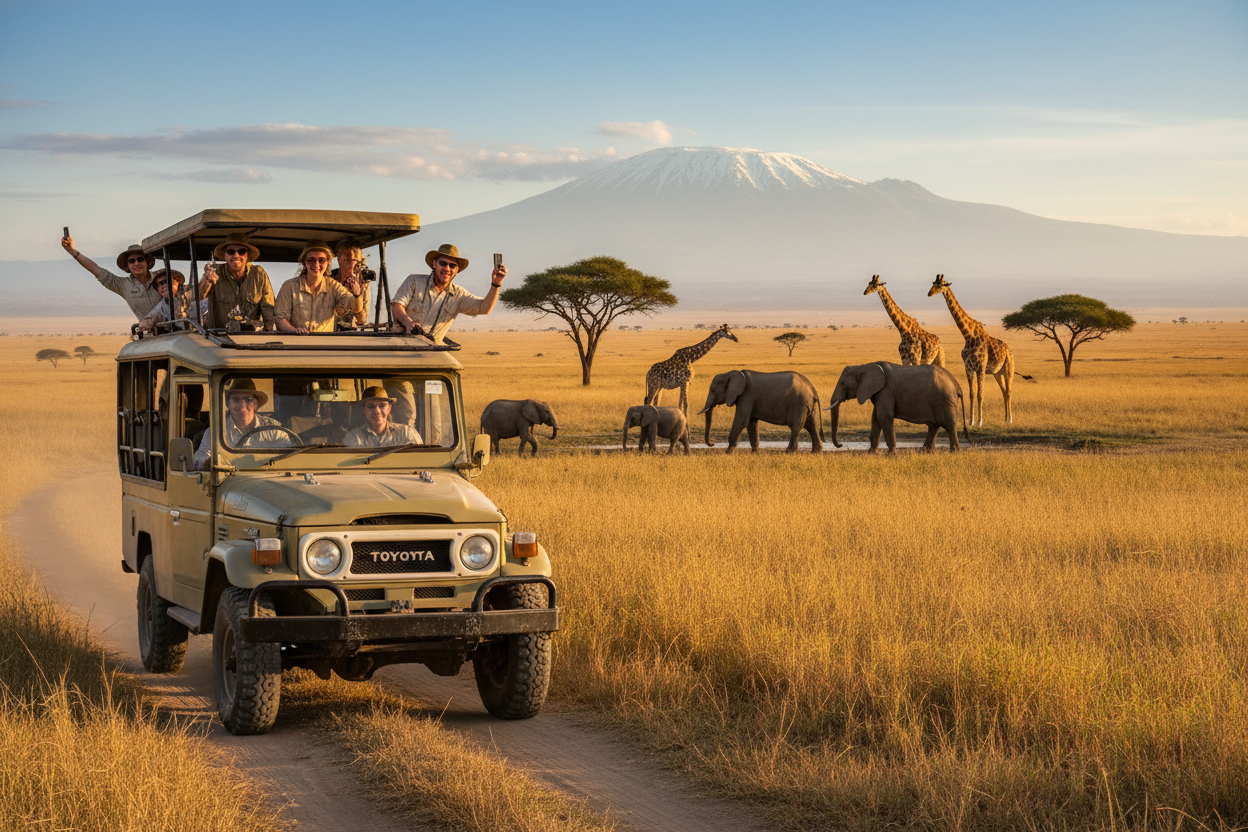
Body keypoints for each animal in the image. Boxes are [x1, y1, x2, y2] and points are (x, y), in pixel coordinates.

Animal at [826, 362, 967, 453]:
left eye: (843, 384)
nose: (841, 444)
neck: (864, 366)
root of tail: (956, 384)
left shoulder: (886, 390)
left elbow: (884, 417)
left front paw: (891, 454)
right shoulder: (879, 392)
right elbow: (875, 418)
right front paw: (871, 452)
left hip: (944, 400)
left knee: (948, 425)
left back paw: (955, 451)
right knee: (934, 426)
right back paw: (925, 451)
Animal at [927, 274, 1026, 426]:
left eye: (941, 285)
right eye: (933, 283)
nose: (929, 293)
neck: (968, 335)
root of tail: (1009, 350)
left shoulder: (980, 367)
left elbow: (980, 394)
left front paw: (979, 421)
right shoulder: (968, 367)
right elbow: (971, 394)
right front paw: (971, 421)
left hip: (1009, 369)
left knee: (1009, 392)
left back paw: (1010, 419)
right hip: (997, 373)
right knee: (1004, 392)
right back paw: (1004, 418)